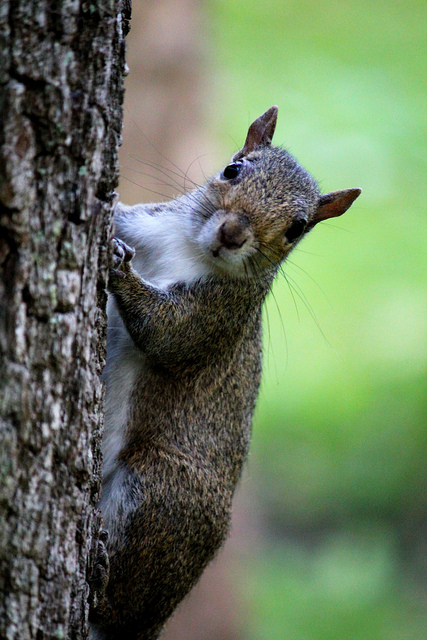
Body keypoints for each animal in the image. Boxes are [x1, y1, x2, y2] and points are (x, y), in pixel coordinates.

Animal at [88, 107, 362, 636]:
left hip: (164, 493)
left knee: (123, 608)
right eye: (233, 169)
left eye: (298, 227)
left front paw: (120, 271)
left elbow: (169, 334)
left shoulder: (220, 313)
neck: (186, 247)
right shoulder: (144, 223)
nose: (232, 234)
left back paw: (103, 587)